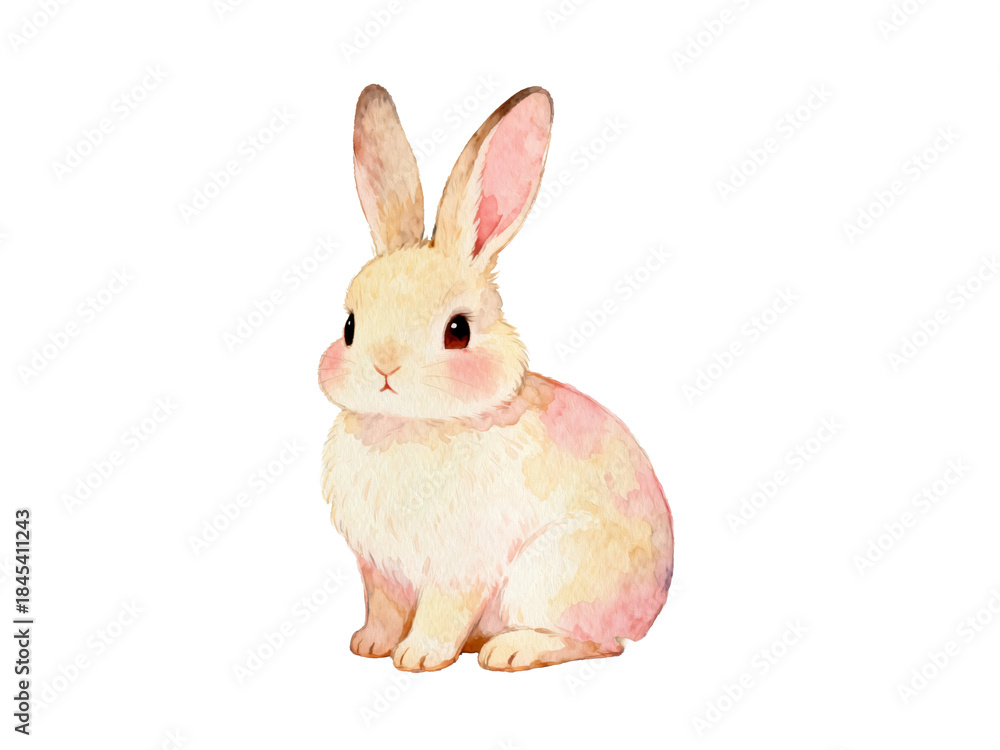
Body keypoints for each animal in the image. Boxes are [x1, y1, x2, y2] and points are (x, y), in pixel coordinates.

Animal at [320, 84, 673, 672]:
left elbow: (443, 612)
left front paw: (418, 657)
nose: (384, 370)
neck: (408, 426)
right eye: (349, 327)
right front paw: (368, 645)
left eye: (458, 331)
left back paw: (508, 650)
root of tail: (651, 610)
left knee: (599, 643)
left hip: (550, 572)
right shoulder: (381, 571)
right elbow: (385, 608)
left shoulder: (461, 566)